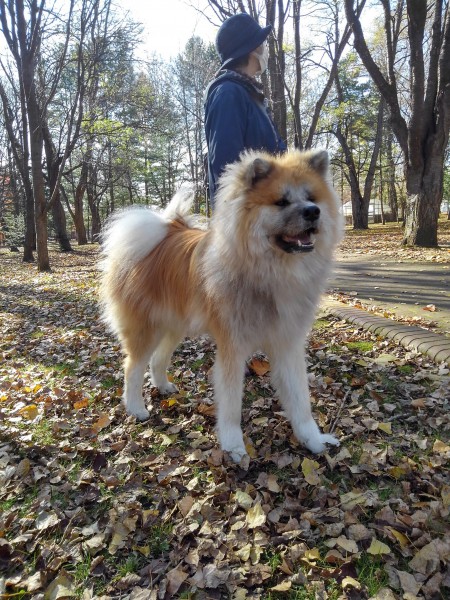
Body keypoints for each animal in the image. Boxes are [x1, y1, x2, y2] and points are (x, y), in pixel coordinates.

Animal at [100, 149, 342, 460]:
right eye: (281, 202)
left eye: (312, 197)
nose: (313, 211)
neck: (270, 275)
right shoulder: (232, 348)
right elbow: (231, 404)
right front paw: (233, 445)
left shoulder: (287, 345)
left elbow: (301, 402)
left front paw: (313, 439)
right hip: (147, 328)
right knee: (133, 367)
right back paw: (136, 408)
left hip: (175, 325)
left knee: (158, 359)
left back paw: (163, 386)